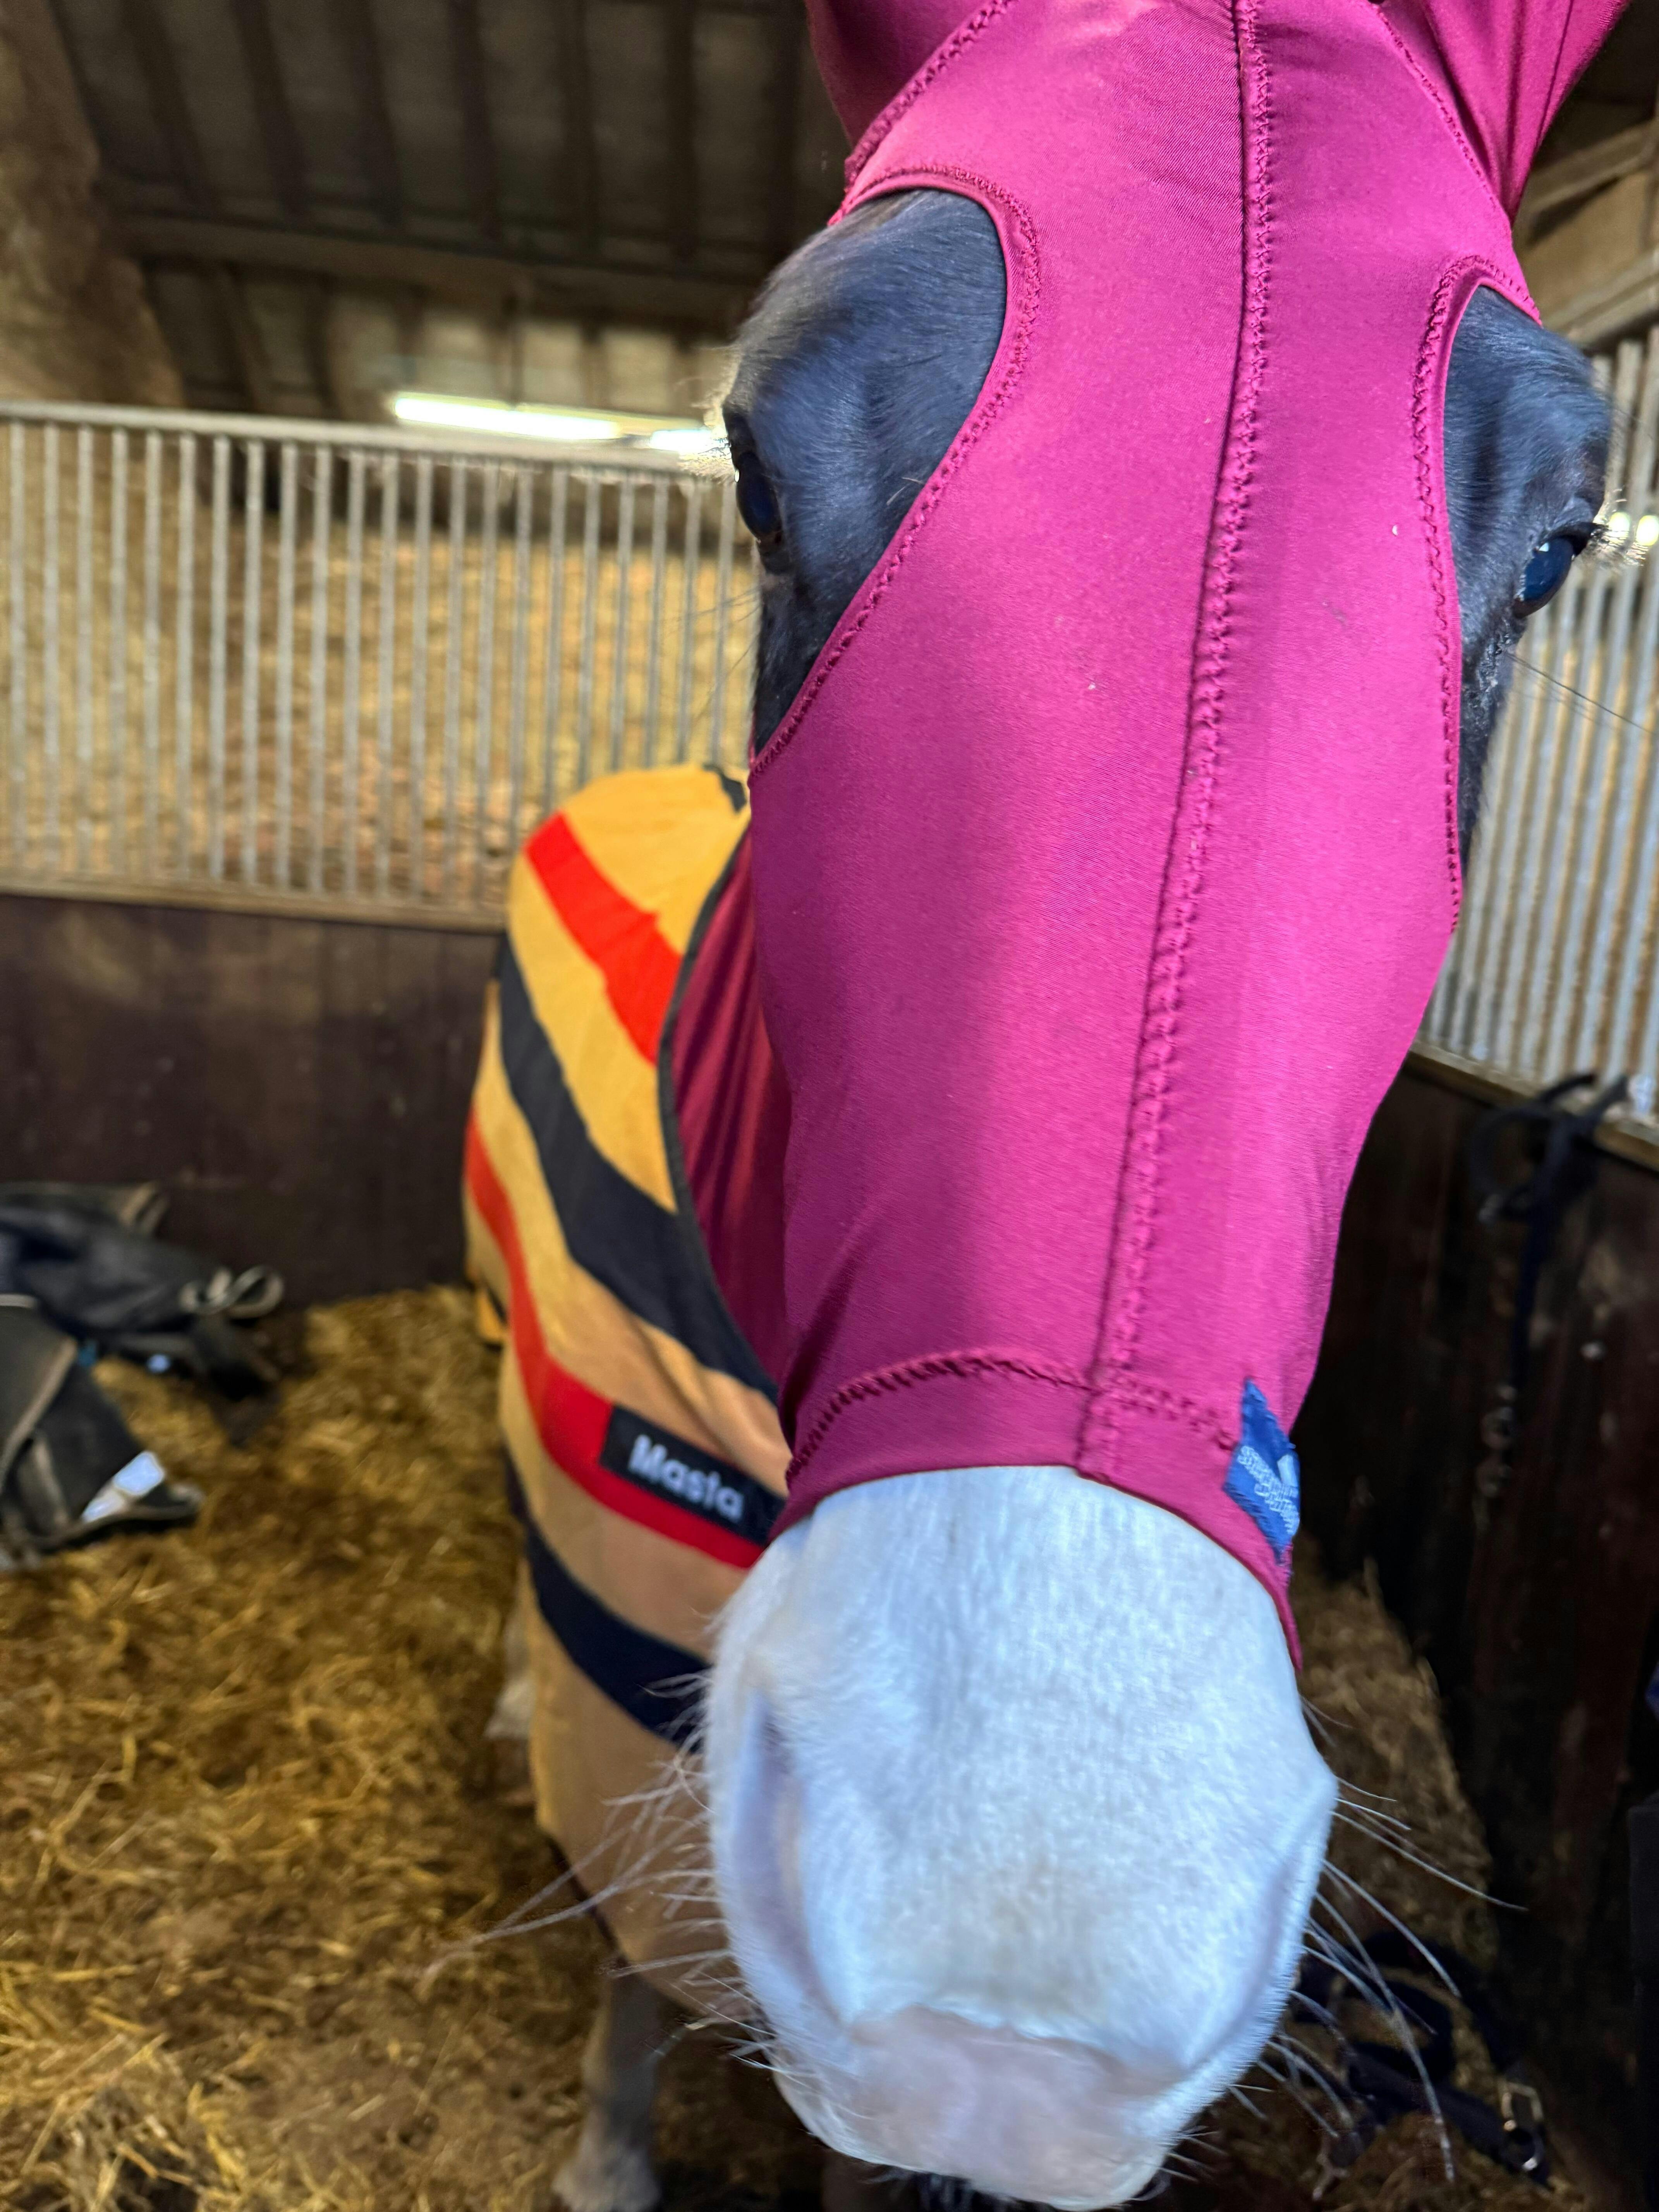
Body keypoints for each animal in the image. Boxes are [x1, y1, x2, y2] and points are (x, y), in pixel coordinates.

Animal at [466, 2, 1618, 2204]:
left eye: (1550, 545)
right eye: (751, 463)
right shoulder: (627, 1612)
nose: (1005, 1993)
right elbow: (642, 1948)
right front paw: (604, 2158)